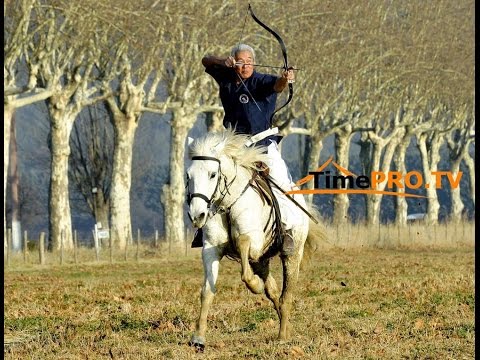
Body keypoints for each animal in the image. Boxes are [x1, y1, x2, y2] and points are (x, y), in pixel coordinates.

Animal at [186, 129, 324, 348]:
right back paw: (285, 326)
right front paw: (198, 337)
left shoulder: (255, 244)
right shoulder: (211, 249)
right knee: (274, 292)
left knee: (286, 296)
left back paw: (282, 336)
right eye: (188, 175)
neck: (227, 204)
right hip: (263, 261)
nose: (197, 215)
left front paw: (254, 285)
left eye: (212, 174)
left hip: (292, 254)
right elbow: (207, 291)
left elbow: (243, 244)